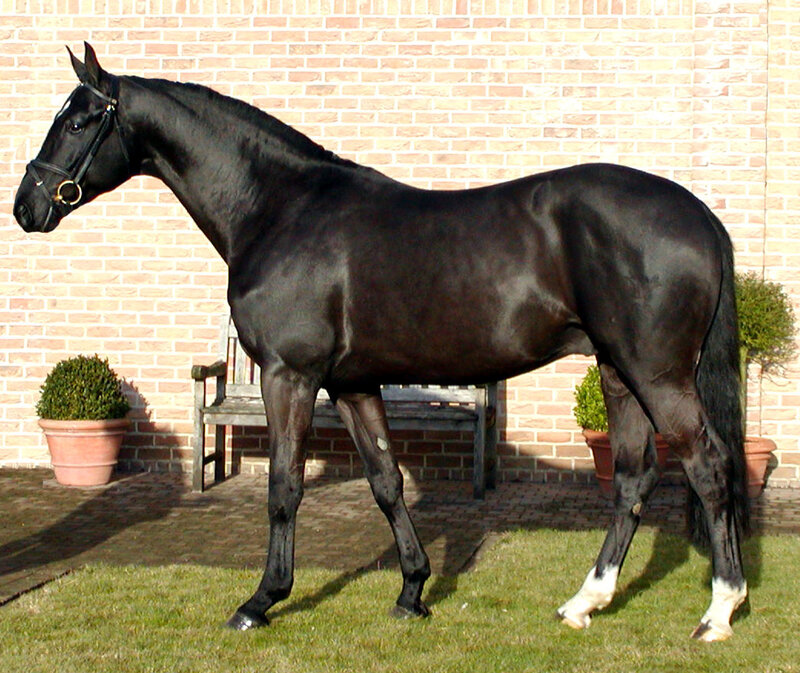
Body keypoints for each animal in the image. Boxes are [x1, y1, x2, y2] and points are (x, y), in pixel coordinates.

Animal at [14, 43, 750, 642]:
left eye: (78, 120)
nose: (28, 207)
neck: (278, 207)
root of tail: (698, 213)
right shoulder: (353, 383)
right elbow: (386, 481)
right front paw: (412, 592)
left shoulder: (290, 374)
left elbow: (284, 485)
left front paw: (261, 600)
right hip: (619, 372)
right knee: (632, 476)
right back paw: (584, 602)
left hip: (656, 374)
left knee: (707, 465)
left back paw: (719, 610)